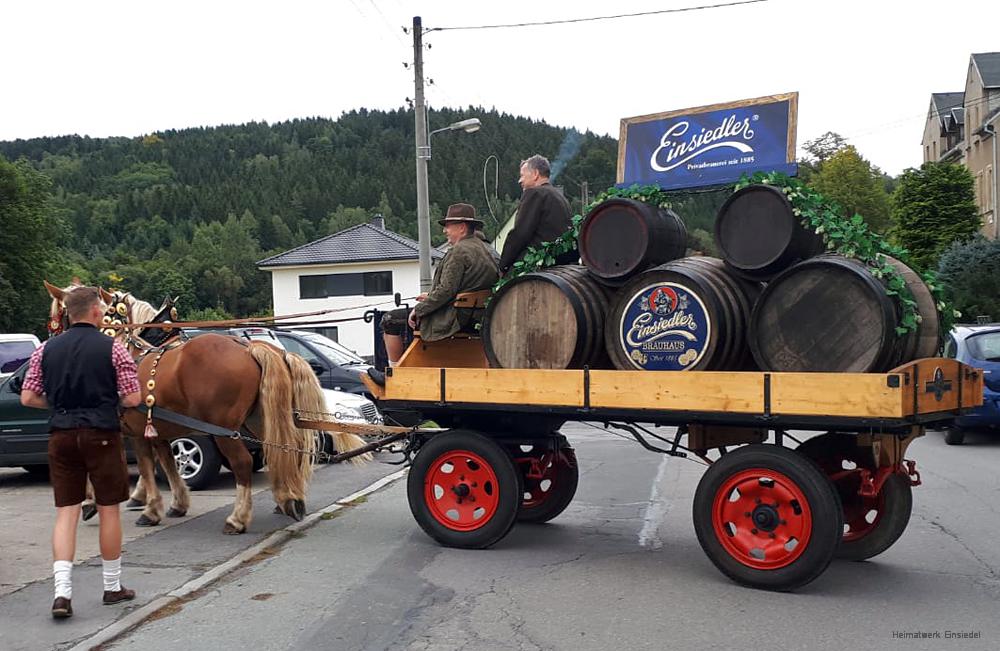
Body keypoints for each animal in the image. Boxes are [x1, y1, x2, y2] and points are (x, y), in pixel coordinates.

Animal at [44, 282, 368, 536]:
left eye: (56, 315)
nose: (51, 341)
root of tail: (250, 348)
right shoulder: (159, 430)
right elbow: (168, 464)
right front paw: (175, 504)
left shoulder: (136, 430)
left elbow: (143, 468)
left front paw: (142, 508)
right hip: (262, 419)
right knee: (285, 451)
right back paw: (289, 500)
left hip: (225, 430)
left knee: (243, 463)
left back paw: (238, 519)